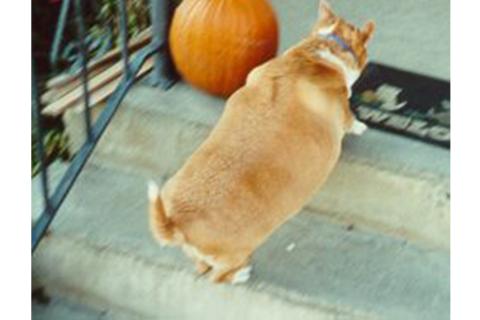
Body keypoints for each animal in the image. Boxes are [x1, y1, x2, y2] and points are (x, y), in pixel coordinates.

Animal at [148, 0, 374, 284]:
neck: (323, 50)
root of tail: (176, 222)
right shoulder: (343, 109)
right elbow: (350, 117)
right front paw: (361, 125)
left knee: (201, 266)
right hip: (238, 251)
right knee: (219, 276)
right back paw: (241, 274)